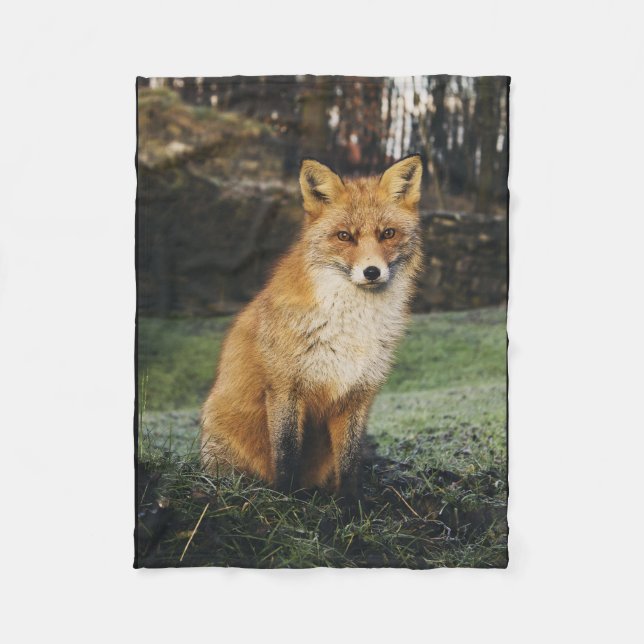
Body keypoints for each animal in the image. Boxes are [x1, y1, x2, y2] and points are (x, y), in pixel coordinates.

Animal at [200, 154, 423, 500]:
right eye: (344, 236)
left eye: (388, 233)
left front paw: (350, 504)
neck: (351, 326)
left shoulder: (358, 394)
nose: (372, 272)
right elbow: (287, 453)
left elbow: (350, 461)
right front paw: (286, 500)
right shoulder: (285, 388)